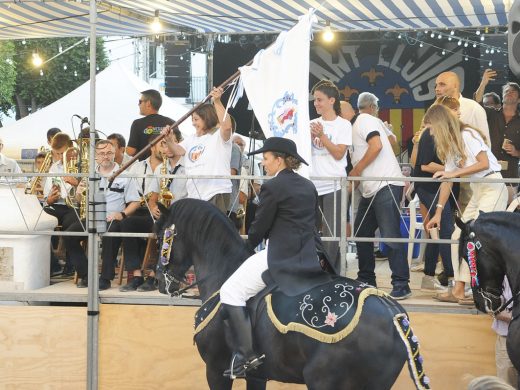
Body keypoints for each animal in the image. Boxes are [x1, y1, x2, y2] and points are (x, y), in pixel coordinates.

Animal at [155, 200, 430, 388]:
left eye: (159, 239)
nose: (159, 281)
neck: (223, 272)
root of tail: (394, 314)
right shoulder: (257, 375)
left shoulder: (215, 370)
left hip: (323, 380)